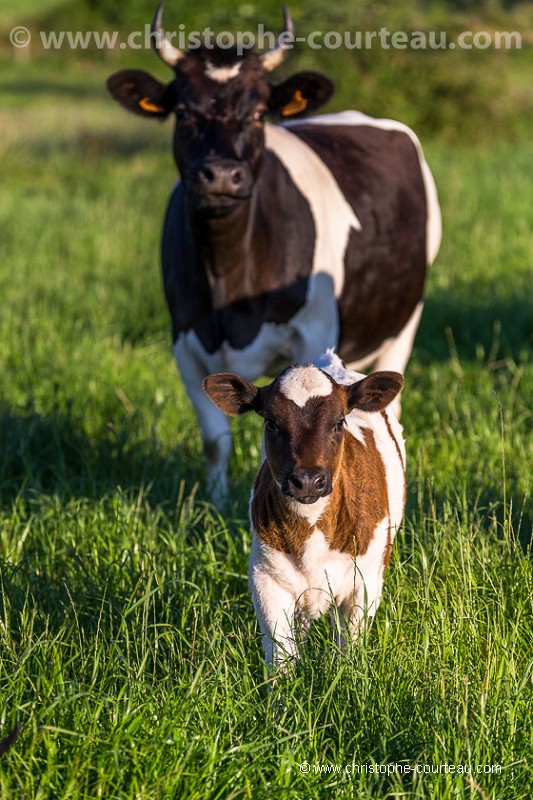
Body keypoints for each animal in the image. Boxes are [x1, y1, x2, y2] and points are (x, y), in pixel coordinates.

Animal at [107, 3, 440, 500]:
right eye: (182, 111)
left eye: (259, 111)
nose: (222, 175)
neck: (229, 277)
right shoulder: (185, 341)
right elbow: (215, 439)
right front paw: (216, 502)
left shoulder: (317, 334)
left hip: (405, 320)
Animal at [203, 350, 404, 668]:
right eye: (271, 423)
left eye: (339, 422)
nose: (308, 481)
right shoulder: (266, 578)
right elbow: (281, 656)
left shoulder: (365, 581)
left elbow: (348, 649)